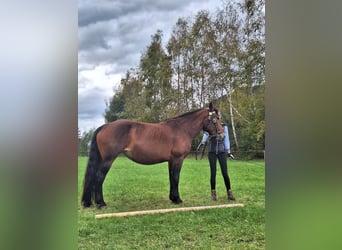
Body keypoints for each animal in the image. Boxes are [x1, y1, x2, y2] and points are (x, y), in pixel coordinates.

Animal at [81, 102, 223, 208]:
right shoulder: (178, 159)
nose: (222, 134)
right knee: (99, 177)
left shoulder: (171, 160)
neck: (182, 129)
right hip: (108, 160)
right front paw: (178, 199)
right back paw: (101, 203)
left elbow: (171, 178)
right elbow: (176, 177)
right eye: (216, 119)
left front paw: (172, 198)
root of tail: (105, 126)